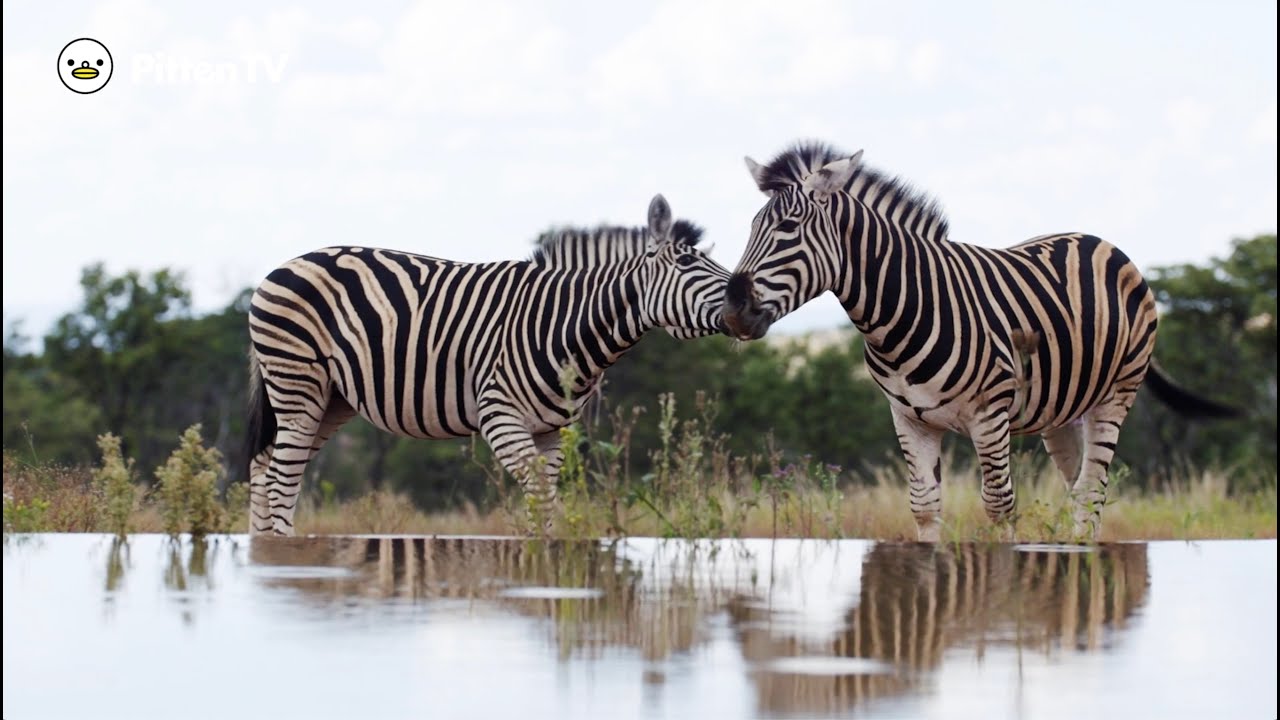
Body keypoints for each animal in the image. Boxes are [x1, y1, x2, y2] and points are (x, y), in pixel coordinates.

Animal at [246, 194, 730, 536]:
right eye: (687, 262)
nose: (744, 299)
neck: (563, 322)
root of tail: (280, 267)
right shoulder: (499, 414)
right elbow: (540, 496)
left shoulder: (550, 430)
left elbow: (545, 500)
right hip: (298, 384)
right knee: (280, 480)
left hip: (330, 399)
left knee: (263, 468)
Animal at [721, 141, 1239, 541]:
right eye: (750, 228)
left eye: (788, 228)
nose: (731, 309)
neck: (903, 311)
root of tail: (1099, 241)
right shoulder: (909, 419)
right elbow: (925, 507)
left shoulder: (990, 416)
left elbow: (999, 505)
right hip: (1062, 411)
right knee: (1078, 490)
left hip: (1117, 393)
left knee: (1091, 493)